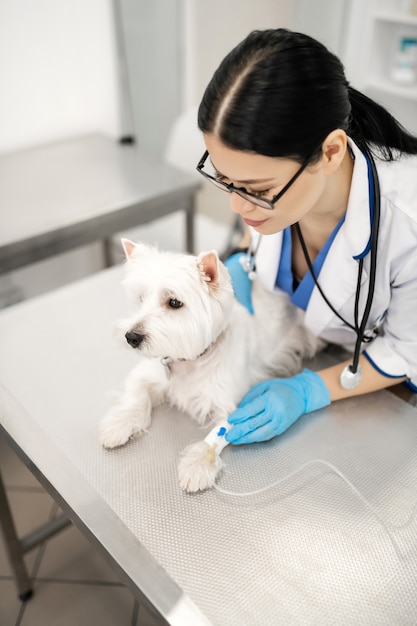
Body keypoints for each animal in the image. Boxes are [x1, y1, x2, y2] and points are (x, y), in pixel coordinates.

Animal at [99, 241, 320, 490]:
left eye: (174, 302)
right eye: (140, 299)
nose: (131, 337)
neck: (190, 360)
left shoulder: (229, 403)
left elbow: (218, 433)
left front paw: (198, 464)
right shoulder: (148, 374)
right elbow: (136, 398)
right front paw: (118, 425)